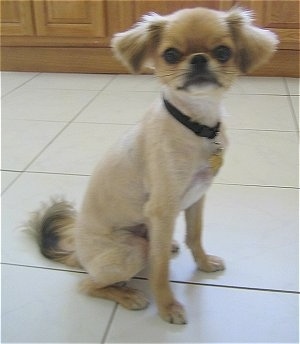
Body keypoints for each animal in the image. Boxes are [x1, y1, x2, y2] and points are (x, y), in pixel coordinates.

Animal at [27, 8, 278, 326]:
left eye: (223, 52)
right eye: (170, 55)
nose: (198, 58)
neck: (194, 125)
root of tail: (79, 256)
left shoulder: (197, 197)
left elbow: (195, 235)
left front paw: (203, 262)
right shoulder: (162, 208)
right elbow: (160, 270)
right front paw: (168, 307)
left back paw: (167, 247)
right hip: (132, 250)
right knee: (88, 284)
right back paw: (127, 295)